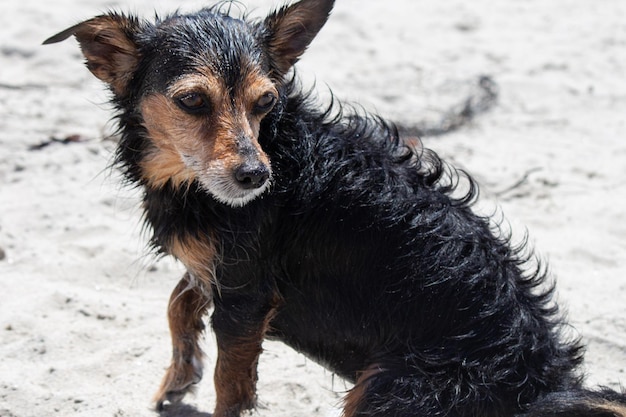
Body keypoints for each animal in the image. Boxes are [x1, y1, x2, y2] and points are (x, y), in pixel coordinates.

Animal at [45, 0, 624, 416]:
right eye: (192, 101)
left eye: (266, 102)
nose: (255, 178)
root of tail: (544, 386)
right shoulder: (216, 268)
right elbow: (178, 302)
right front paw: (179, 378)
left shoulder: (245, 296)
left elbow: (229, 385)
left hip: (381, 388)